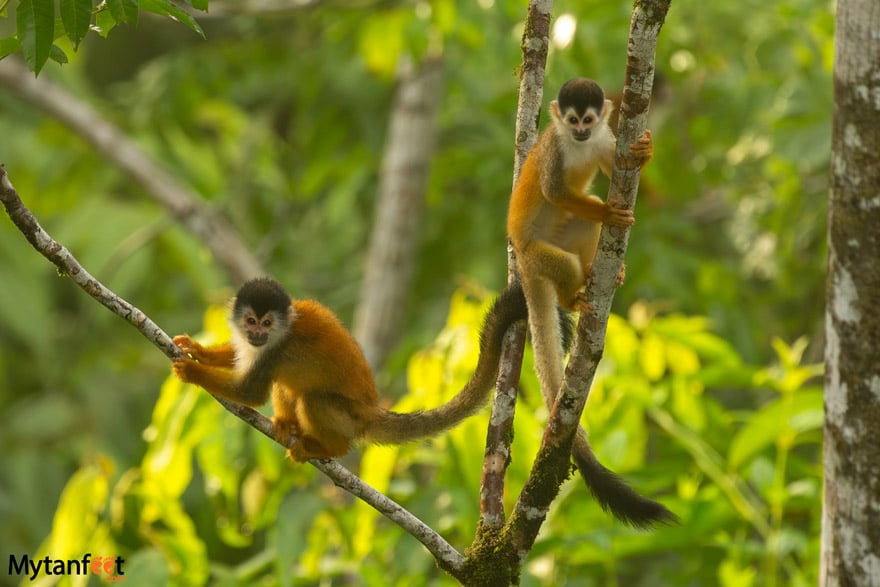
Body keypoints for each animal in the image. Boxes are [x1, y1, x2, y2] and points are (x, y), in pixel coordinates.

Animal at [172, 277, 528, 462]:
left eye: (267, 323)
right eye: (250, 321)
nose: (257, 334)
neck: (277, 335)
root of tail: (371, 409)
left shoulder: (276, 350)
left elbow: (251, 393)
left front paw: (192, 372)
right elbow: (238, 358)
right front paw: (197, 350)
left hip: (349, 418)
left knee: (313, 399)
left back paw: (329, 447)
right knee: (289, 385)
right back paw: (288, 425)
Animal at [507, 78, 676, 527]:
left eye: (587, 120)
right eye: (571, 121)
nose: (580, 132)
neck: (577, 143)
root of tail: (522, 263)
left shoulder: (603, 140)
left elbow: (615, 169)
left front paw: (644, 152)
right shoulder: (553, 149)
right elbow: (554, 190)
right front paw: (609, 214)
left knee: (581, 223)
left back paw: (596, 274)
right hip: (538, 256)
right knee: (563, 256)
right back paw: (573, 292)